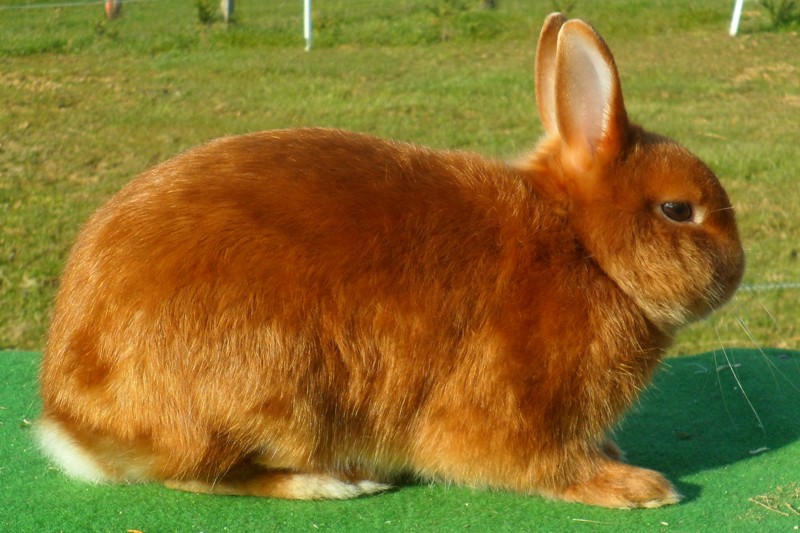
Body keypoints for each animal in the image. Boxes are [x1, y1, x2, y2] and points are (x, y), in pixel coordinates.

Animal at [36, 13, 744, 509]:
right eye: (678, 210)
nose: (737, 270)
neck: (584, 248)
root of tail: (70, 417)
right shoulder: (515, 409)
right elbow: (543, 465)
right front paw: (638, 486)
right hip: (272, 391)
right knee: (198, 475)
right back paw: (333, 482)